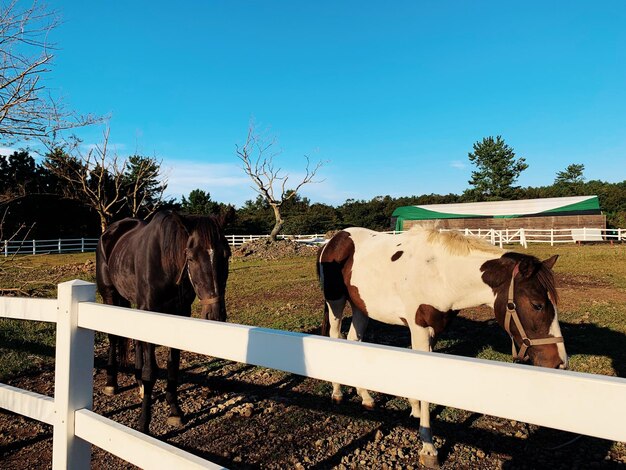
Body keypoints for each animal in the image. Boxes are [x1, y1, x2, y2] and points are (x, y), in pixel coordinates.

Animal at [97, 210, 232, 434]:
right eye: (191, 257)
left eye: (227, 255)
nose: (215, 316)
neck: (165, 263)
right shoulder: (150, 310)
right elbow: (151, 371)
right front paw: (143, 423)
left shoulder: (179, 313)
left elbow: (173, 364)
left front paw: (174, 410)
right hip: (110, 296)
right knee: (114, 338)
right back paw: (111, 383)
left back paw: (138, 383)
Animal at [316, 228, 564, 466]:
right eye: (537, 305)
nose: (559, 363)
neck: (440, 274)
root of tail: (333, 240)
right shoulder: (419, 329)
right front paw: (428, 448)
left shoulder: (432, 333)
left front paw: (415, 410)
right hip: (336, 303)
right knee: (334, 337)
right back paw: (337, 392)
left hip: (362, 307)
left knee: (353, 342)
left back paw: (366, 397)